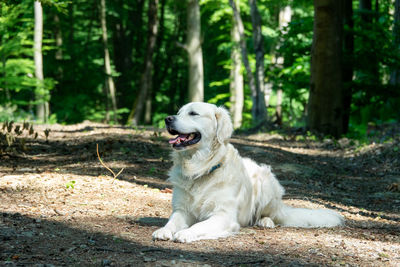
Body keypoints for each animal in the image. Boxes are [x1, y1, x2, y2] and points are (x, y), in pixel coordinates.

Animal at [153, 102, 344, 243]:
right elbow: (172, 222)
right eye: (178, 112)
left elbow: (199, 226)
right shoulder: (182, 210)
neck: (200, 168)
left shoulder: (224, 215)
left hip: (266, 183)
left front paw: (186, 233)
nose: (168, 119)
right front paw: (164, 230)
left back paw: (265, 221)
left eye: (193, 113)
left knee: (272, 215)